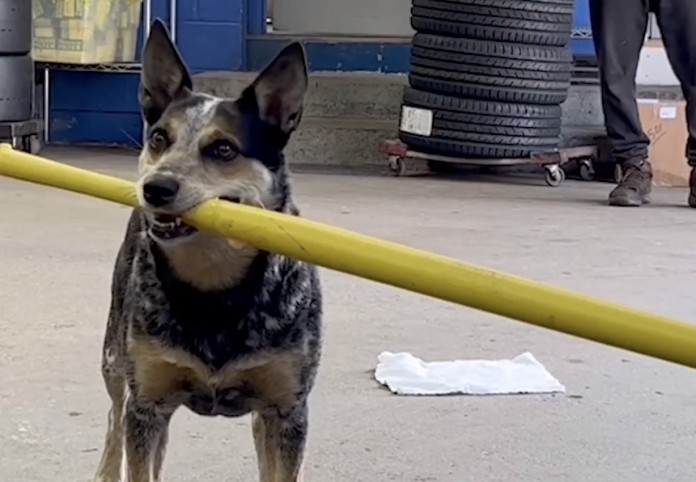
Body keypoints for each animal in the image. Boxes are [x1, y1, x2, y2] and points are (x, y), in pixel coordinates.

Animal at [91, 18, 322, 482]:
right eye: (159, 138)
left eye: (224, 148)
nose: (155, 188)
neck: (215, 288)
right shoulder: (147, 404)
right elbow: (136, 450)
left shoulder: (288, 410)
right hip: (114, 357)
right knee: (114, 416)